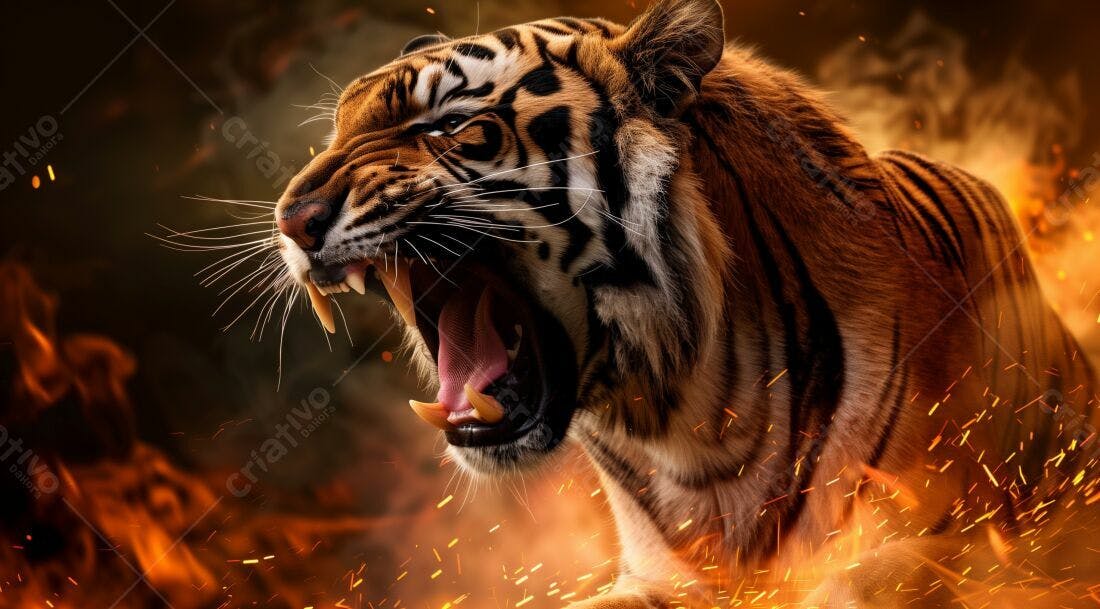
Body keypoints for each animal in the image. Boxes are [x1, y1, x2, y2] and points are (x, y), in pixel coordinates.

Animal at [272, 0, 1100, 606]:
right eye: (336, 130)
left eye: (448, 125)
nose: (292, 219)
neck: (690, 419)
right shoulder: (659, 574)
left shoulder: (968, 533)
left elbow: (865, 580)